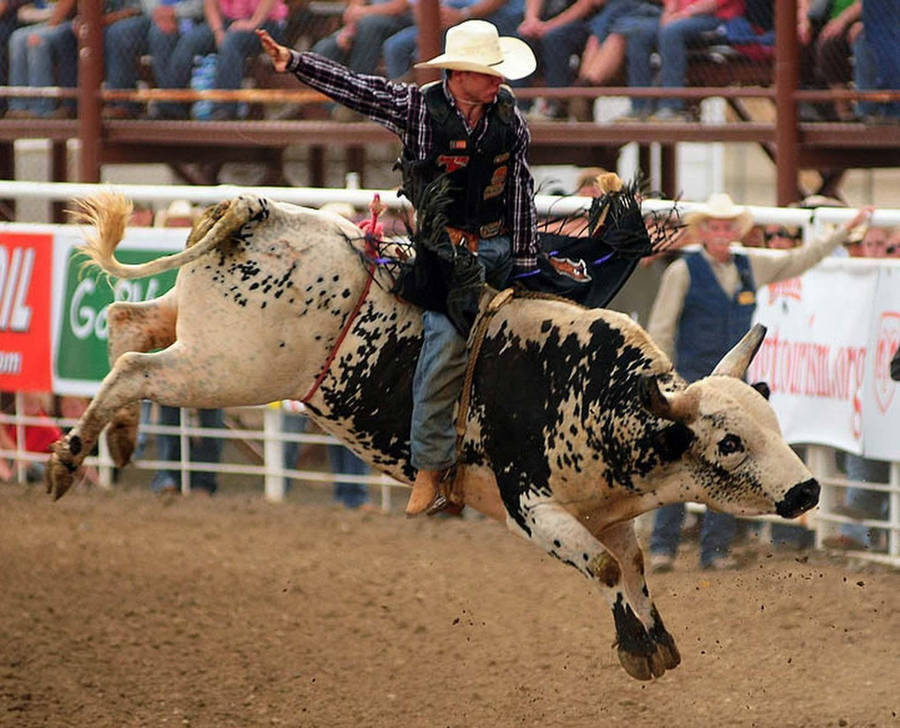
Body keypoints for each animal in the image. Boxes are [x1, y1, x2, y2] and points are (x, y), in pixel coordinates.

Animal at [49, 193, 824, 684]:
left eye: (773, 425)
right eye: (729, 442)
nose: (808, 488)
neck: (595, 393)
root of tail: (255, 208)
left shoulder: (606, 513)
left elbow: (631, 566)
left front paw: (655, 640)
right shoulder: (529, 506)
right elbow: (603, 569)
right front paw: (636, 645)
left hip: (200, 333)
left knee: (124, 323)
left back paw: (114, 443)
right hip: (228, 368)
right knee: (133, 367)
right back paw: (66, 459)